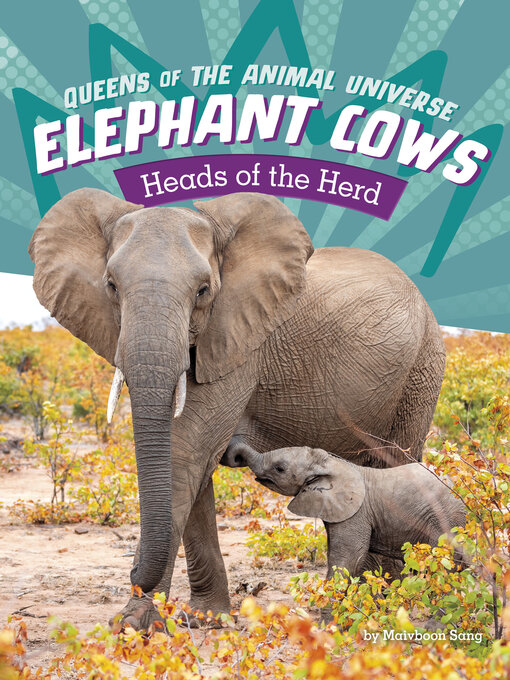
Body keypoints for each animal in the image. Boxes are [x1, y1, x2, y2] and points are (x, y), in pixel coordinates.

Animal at [222, 440, 466, 580]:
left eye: (279, 468)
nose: (230, 453)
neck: (331, 462)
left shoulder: (356, 513)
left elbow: (348, 559)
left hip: (447, 518)